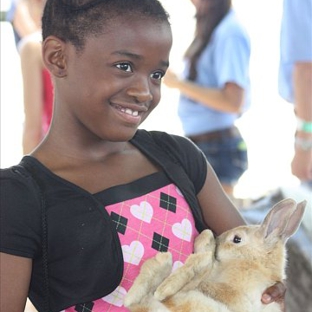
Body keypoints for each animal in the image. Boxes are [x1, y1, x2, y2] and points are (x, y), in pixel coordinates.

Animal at [123, 199, 306, 310]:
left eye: (237, 239)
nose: (219, 240)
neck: (254, 263)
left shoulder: (225, 291)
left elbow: (201, 267)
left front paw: (165, 288)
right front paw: (206, 239)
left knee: (140, 300)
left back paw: (160, 269)